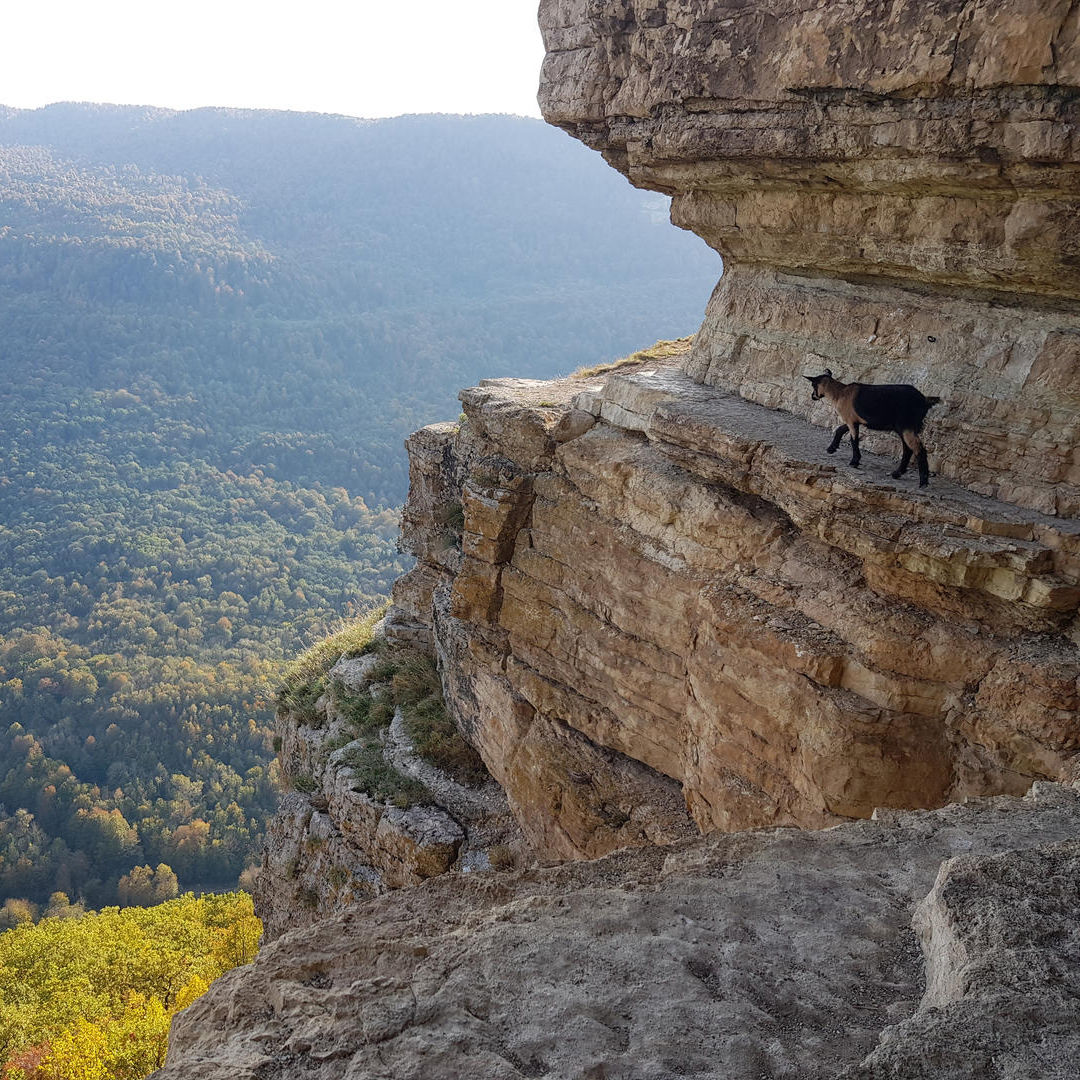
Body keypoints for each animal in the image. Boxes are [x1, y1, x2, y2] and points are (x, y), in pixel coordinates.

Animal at [807, 371, 941, 490]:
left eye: (813, 385)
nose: (813, 397)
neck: (840, 393)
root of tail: (924, 400)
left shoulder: (851, 420)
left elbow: (853, 440)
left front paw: (854, 461)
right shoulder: (854, 420)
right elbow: (840, 429)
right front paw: (831, 448)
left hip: (906, 425)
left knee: (918, 449)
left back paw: (923, 482)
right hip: (904, 428)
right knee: (908, 449)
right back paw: (897, 473)